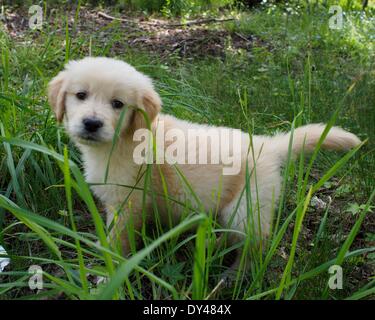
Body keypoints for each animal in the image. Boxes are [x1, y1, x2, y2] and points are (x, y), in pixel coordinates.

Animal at [47, 57, 362, 270]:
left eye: (117, 104)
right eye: (80, 95)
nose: (91, 123)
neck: (125, 139)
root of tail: (267, 145)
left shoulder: (127, 203)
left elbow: (118, 239)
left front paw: (107, 266)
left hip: (246, 207)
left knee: (254, 245)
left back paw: (236, 275)